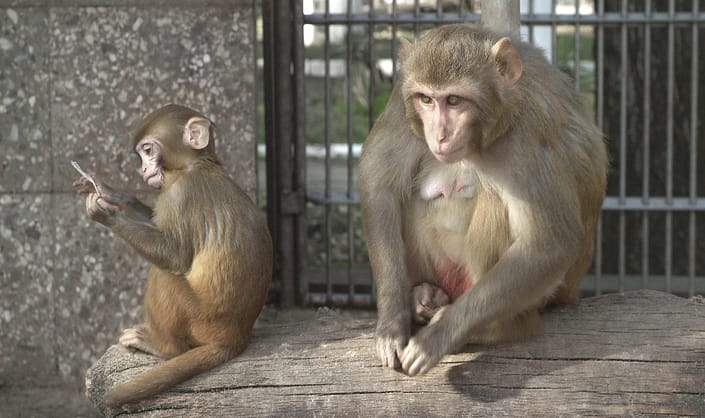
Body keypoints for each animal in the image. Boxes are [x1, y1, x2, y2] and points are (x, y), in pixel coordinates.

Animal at [73, 104, 273, 406]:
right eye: (141, 155)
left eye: (148, 150)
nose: (143, 168)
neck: (196, 165)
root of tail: (236, 338)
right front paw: (112, 193)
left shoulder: (180, 192)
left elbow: (174, 256)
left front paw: (104, 214)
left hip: (201, 322)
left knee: (163, 274)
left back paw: (164, 348)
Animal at [358, 24, 607, 376]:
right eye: (425, 99)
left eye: (454, 100)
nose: (440, 135)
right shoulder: (399, 103)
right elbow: (378, 183)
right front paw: (392, 326)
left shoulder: (529, 133)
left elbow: (551, 242)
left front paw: (437, 338)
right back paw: (424, 294)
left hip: (545, 294)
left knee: (494, 199)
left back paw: (500, 327)